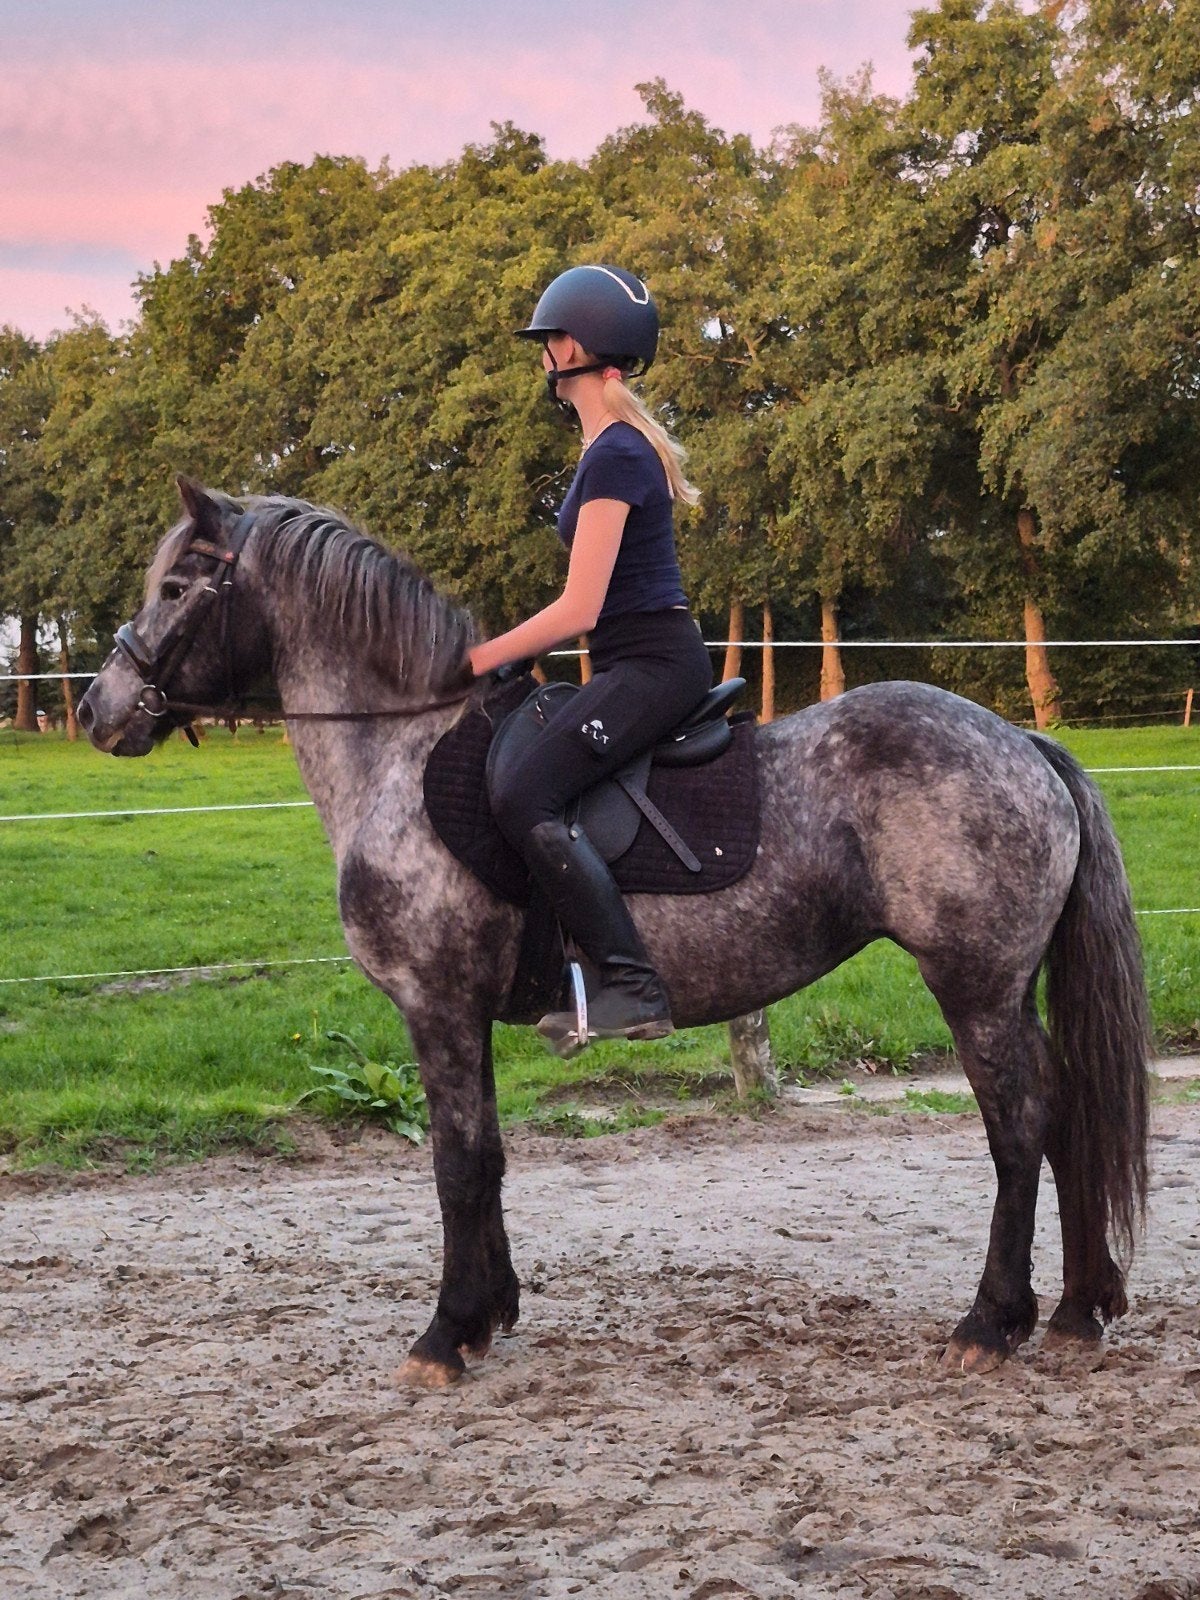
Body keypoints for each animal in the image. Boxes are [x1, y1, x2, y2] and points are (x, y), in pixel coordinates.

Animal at [77, 479, 1151, 1389]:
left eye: (175, 586)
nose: (97, 707)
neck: (400, 753)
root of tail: (1025, 745)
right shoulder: (465, 1015)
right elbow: (489, 1155)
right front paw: (488, 1314)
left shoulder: (436, 1005)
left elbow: (455, 1164)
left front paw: (443, 1334)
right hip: (1006, 989)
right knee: (1063, 1111)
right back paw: (1078, 1309)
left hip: (974, 987)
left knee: (1018, 1126)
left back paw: (992, 1322)